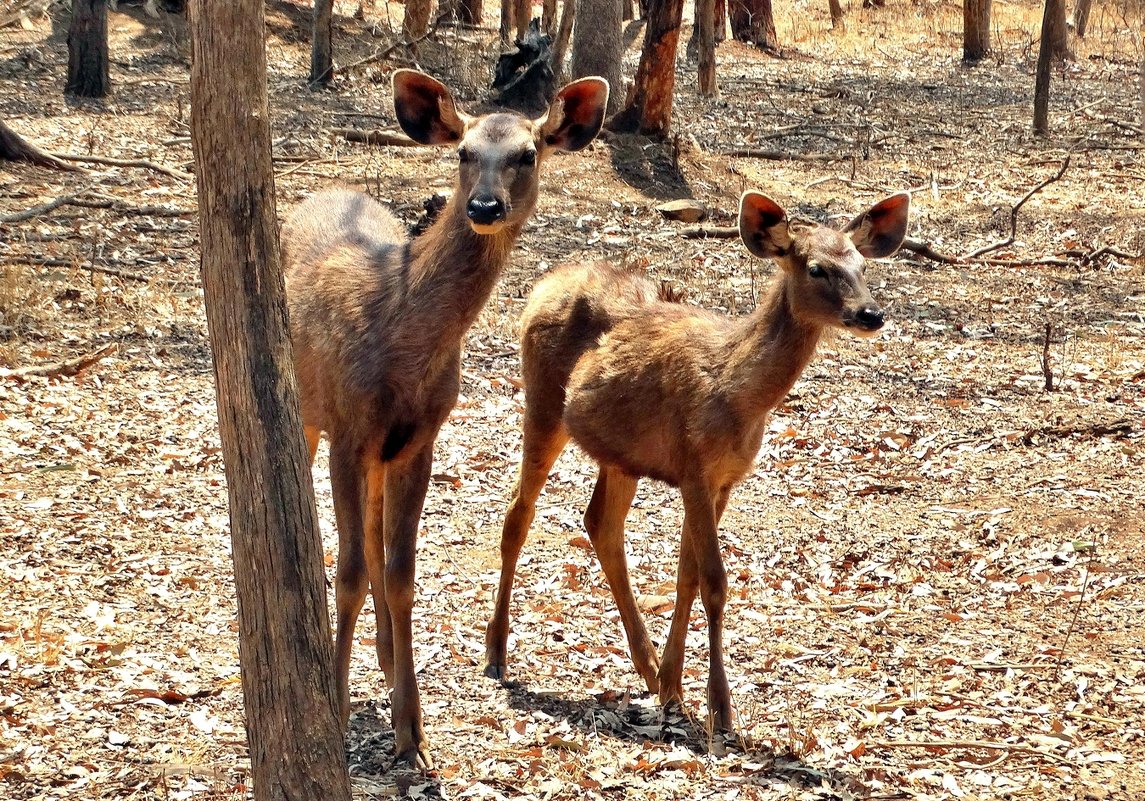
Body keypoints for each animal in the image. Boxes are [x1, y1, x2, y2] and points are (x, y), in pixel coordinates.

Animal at [278, 70, 613, 768]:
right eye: (463, 151)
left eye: (528, 153)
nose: (483, 206)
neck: (401, 337)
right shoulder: (349, 429)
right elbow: (350, 571)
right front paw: (337, 710)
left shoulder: (420, 439)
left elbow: (401, 571)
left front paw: (413, 730)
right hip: (310, 407)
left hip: (382, 451)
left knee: (376, 531)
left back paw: (383, 655)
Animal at [483, 187, 911, 732]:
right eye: (816, 268)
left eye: (861, 264)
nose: (871, 314)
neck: (738, 394)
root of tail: (544, 284)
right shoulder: (693, 467)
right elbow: (713, 580)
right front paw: (719, 707)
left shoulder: (723, 479)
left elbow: (686, 573)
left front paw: (673, 686)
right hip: (540, 403)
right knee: (518, 512)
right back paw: (496, 653)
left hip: (619, 456)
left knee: (600, 522)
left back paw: (645, 668)